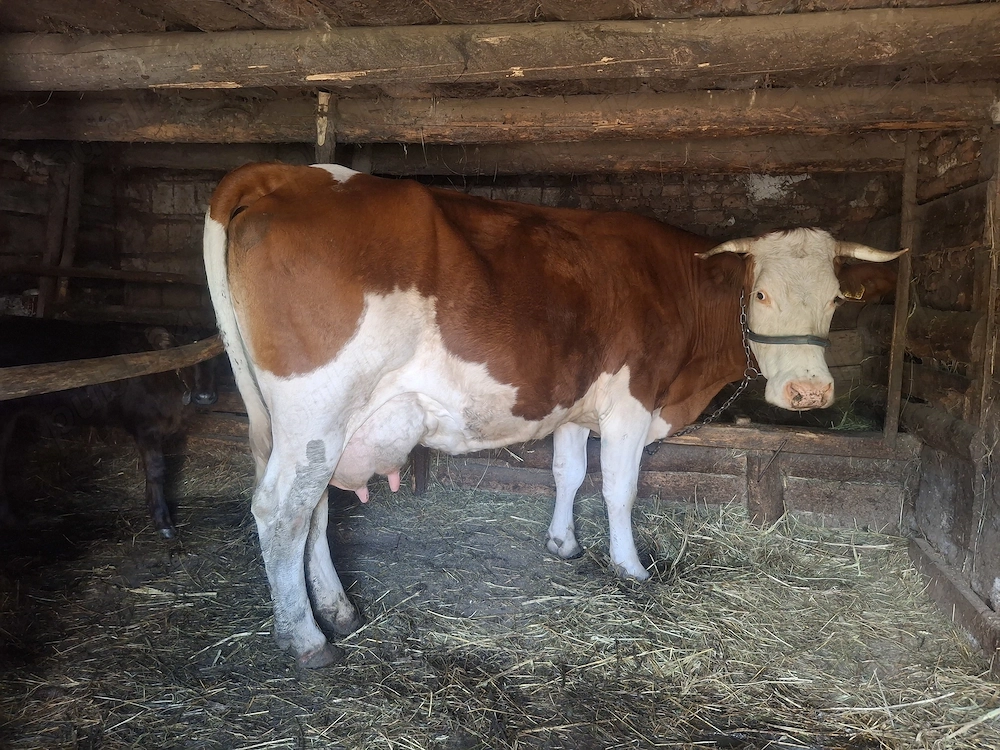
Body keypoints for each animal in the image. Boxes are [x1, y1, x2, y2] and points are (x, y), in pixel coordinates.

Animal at [0, 318, 218, 538]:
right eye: (184, 352)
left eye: (215, 358)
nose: (205, 397)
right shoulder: (145, 426)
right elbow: (156, 470)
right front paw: (162, 522)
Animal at [203, 162, 904, 667]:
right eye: (760, 293)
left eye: (836, 300)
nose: (809, 393)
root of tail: (288, 174)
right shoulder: (631, 399)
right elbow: (619, 488)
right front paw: (631, 568)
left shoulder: (574, 399)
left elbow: (569, 472)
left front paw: (564, 543)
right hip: (317, 408)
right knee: (282, 511)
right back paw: (305, 638)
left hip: (308, 424)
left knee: (314, 506)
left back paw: (337, 609)